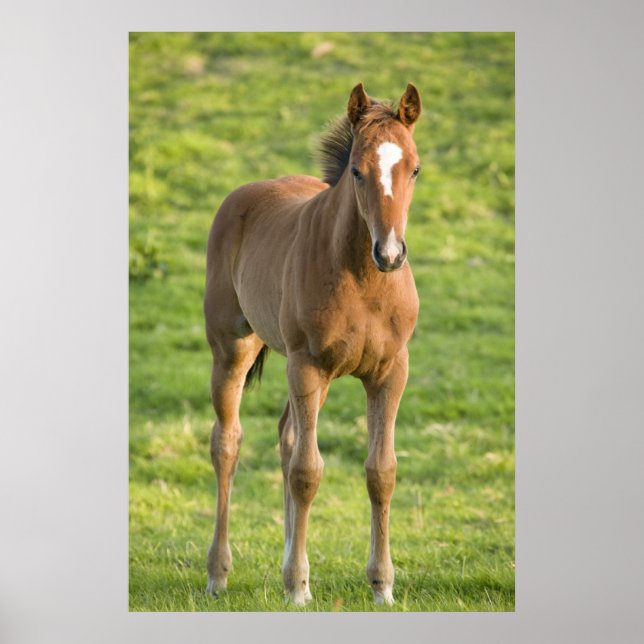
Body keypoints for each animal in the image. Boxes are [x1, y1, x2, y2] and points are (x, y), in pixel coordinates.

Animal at [204, 83, 421, 606]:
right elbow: (308, 471)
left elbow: (381, 471)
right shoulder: (305, 365)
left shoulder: (391, 371)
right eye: (357, 170)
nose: (390, 253)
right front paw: (299, 589)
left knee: (286, 436)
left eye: (414, 168)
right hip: (233, 349)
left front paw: (382, 586)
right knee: (227, 443)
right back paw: (219, 574)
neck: (363, 280)